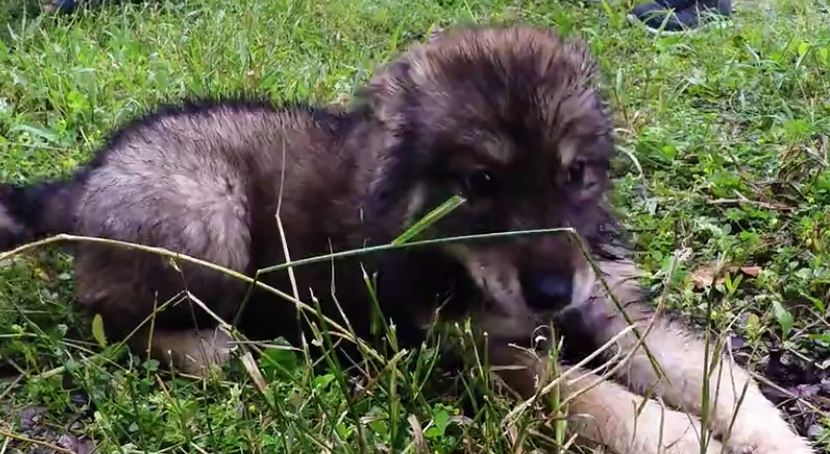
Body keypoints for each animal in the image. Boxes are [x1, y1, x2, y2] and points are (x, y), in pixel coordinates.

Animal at [0, 25, 816, 454]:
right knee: (107, 314)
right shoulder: (469, 347)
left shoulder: (611, 305)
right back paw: (227, 351)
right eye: (480, 183)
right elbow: (593, 395)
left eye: (577, 173)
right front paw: (680, 438)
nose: (551, 295)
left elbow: (714, 375)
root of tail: (76, 183)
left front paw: (773, 440)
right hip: (208, 214)